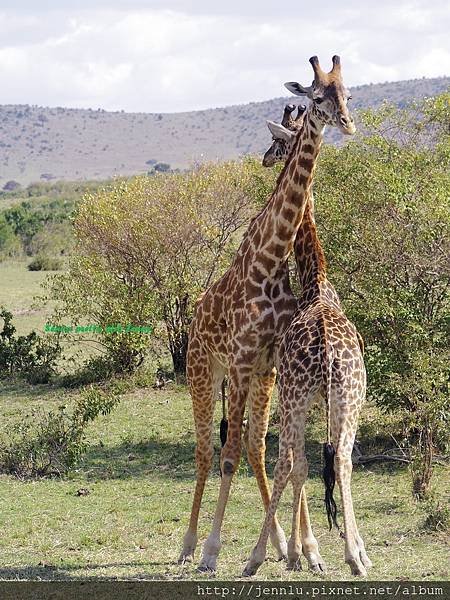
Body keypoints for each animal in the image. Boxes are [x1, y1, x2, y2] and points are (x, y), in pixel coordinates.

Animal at [177, 55, 356, 572]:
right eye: (317, 96)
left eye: (347, 94)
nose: (347, 123)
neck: (271, 260)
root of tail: (192, 320)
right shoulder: (239, 360)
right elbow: (230, 454)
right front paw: (212, 550)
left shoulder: (270, 363)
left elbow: (278, 455)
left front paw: (306, 549)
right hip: (203, 371)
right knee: (206, 450)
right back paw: (190, 544)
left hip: (258, 377)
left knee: (259, 449)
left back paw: (279, 544)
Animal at [243, 105, 372, 580]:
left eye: (277, 142)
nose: (265, 158)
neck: (315, 279)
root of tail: (331, 353)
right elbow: (313, 466)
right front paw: (313, 551)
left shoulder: (298, 394)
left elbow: (296, 466)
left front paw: (299, 553)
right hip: (350, 398)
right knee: (344, 460)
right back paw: (356, 555)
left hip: (298, 395)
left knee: (287, 461)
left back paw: (257, 555)